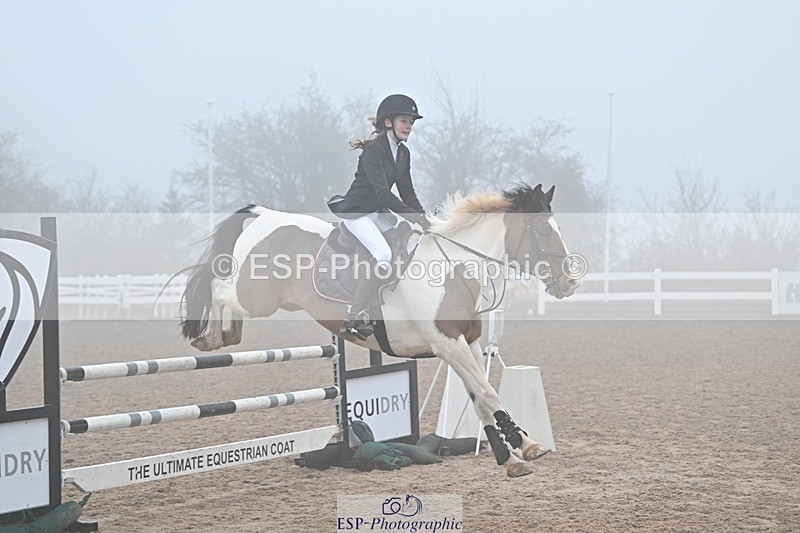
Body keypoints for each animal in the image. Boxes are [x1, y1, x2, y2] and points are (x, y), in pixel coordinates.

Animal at [179, 183, 580, 477]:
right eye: (543, 231)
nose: (570, 283)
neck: (453, 268)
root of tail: (265, 215)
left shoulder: (463, 344)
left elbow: (480, 397)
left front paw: (516, 451)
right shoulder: (448, 344)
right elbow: (486, 394)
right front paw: (520, 450)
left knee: (226, 297)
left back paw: (228, 335)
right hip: (256, 296)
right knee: (217, 285)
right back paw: (208, 336)